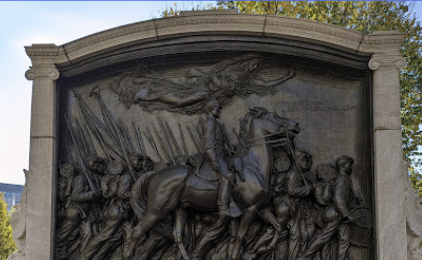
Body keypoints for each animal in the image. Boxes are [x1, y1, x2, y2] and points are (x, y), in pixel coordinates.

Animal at [123, 107, 302, 260]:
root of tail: (155, 174)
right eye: (273, 115)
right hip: (157, 210)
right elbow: (241, 236)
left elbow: (277, 226)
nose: (296, 125)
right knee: (136, 231)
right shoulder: (250, 210)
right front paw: (239, 255)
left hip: (180, 209)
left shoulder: (261, 208)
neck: (254, 166)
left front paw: (266, 248)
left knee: (177, 235)